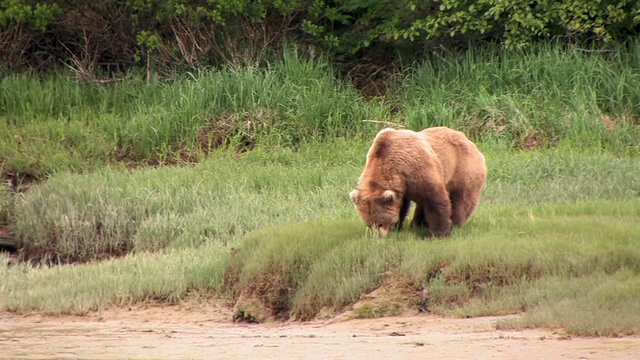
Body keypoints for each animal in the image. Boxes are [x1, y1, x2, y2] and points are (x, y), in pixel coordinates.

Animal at [350, 128, 484, 238]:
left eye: (380, 223)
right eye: (369, 224)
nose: (378, 237)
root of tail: (469, 141)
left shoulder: (417, 168)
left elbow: (435, 200)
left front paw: (440, 233)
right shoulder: (401, 186)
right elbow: (402, 205)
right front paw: (398, 226)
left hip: (463, 169)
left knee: (461, 199)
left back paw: (455, 224)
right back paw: (418, 224)